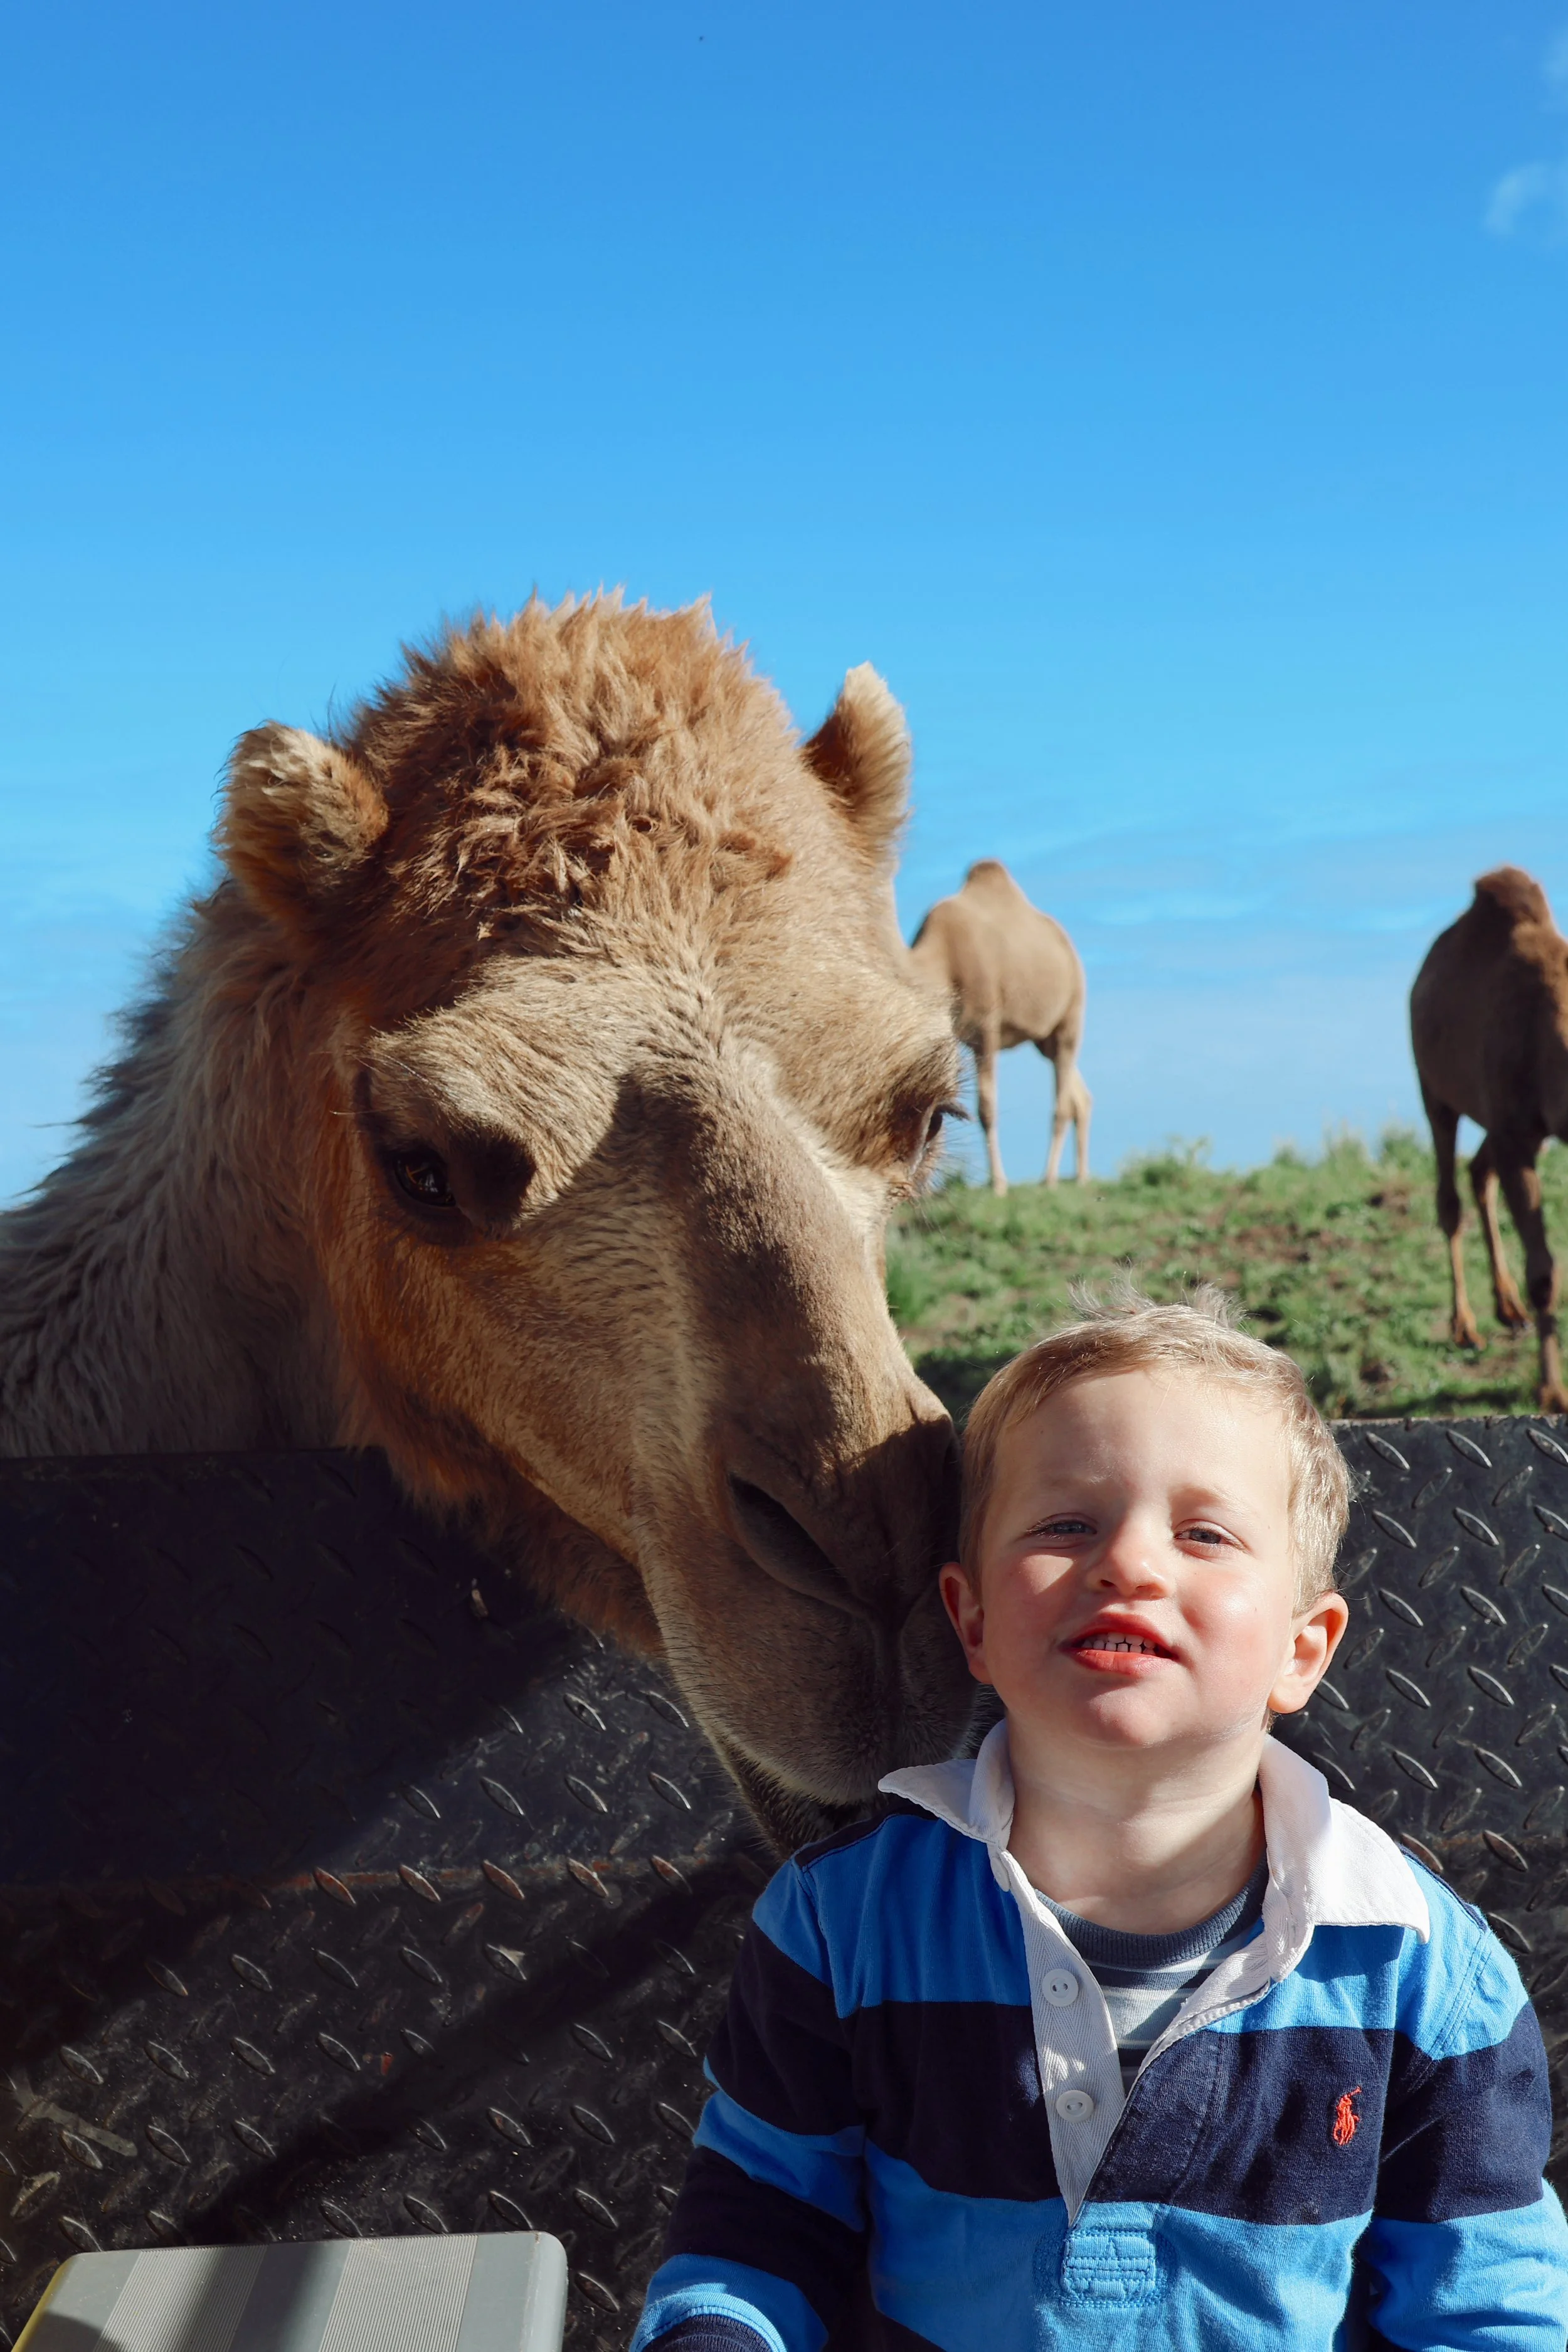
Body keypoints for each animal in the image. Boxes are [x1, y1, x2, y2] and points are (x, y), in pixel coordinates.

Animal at [909, 858, 1091, 1195]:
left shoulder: (986, 1029)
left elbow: (985, 1108)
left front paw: (999, 1185)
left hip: (1071, 1012)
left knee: (1062, 1097)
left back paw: (1049, 1179)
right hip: (1044, 1038)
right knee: (1077, 1093)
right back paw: (1082, 1177)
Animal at [1411, 864, 1568, 1415]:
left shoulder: (1525, 1130)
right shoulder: (1516, 1134)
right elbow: (1544, 1273)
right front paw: (1552, 1391)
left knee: (1479, 1171)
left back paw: (1508, 1309)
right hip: (1435, 1088)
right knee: (1448, 1199)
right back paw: (1466, 1327)